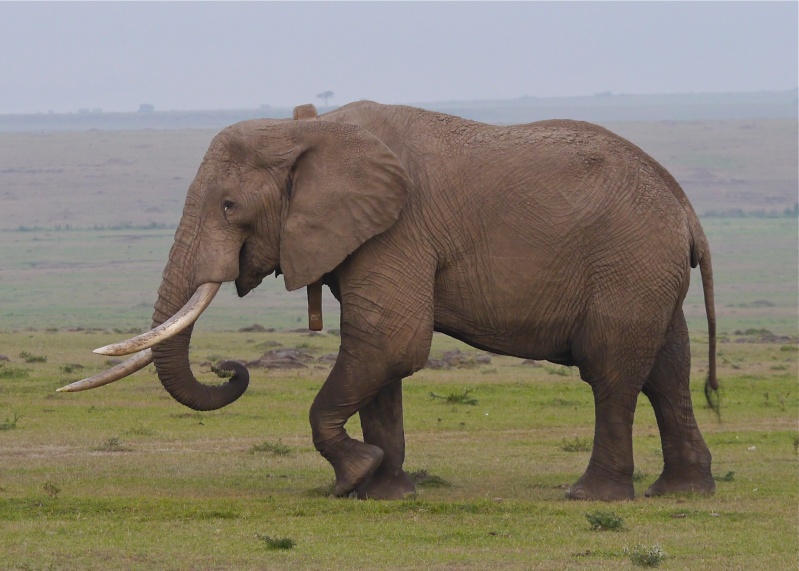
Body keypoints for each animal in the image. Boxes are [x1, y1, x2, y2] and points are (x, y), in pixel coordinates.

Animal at [59, 101, 720, 500]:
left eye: (228, 206)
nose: (230, 367)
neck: (309, 128)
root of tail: (687, 211)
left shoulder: (398, 229)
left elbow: (390, 342)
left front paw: (354, 476)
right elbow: (381, 358)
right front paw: (384, 490)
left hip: (629, 264)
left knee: (612, 373)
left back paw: (589, 496)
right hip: (650, 271)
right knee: (668, 373)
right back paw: (682, 493)